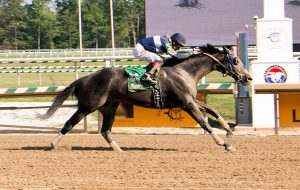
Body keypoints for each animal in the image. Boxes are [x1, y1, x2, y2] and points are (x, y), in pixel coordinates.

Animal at [38, 44, 252, 151]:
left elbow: (212, 110)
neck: (184, 71)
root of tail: (84, 78)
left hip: (110, 107)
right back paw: (52, 144)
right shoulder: (186, 103)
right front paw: (225, 144)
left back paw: (120, 150)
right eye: (236, 60)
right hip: (88, 106)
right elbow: (204, 123)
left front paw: (229, 131)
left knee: (105, 131)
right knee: (69, 124)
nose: (248, 77)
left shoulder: (191, 100)